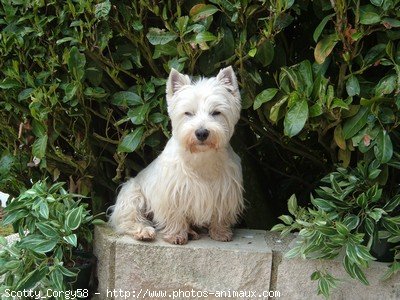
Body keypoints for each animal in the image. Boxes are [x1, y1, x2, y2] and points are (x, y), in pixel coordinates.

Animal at [108, 65, 244, 244]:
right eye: (188, 113)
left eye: (216, 112)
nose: (201, 133)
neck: (201, 157)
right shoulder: (171, 192)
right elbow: (175, 215)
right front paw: (176, 235)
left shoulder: (226, 191)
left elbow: (220, 214)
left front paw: (220, 232)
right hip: (132, 195)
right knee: (130, 219)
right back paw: (144, 231)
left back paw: (192, 231)